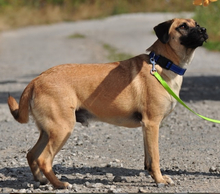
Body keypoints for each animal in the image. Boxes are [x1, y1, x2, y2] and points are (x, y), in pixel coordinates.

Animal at [7, 18, 208, 189]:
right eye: (183, 26)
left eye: (196, 24)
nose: (204, 30)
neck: (161, 63)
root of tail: (36, 80)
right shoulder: (152, 124)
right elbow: (156, 157)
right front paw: (159, 180)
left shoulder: (146, 127)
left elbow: (149, 159)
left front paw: (154, 176)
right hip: (62, 129)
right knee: (44, 160)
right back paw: (60, 184)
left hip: (48, 131)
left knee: (31, 154)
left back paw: (41, 180)